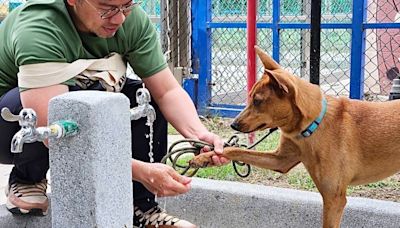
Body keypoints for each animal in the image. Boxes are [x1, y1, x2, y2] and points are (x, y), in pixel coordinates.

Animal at [189, 45, 400, 228]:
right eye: (250, 98)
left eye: (257, 101)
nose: (233, 124)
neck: (310, 127)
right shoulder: (280, 160)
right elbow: (235, 150)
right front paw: (205, 157)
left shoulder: (334, 199)